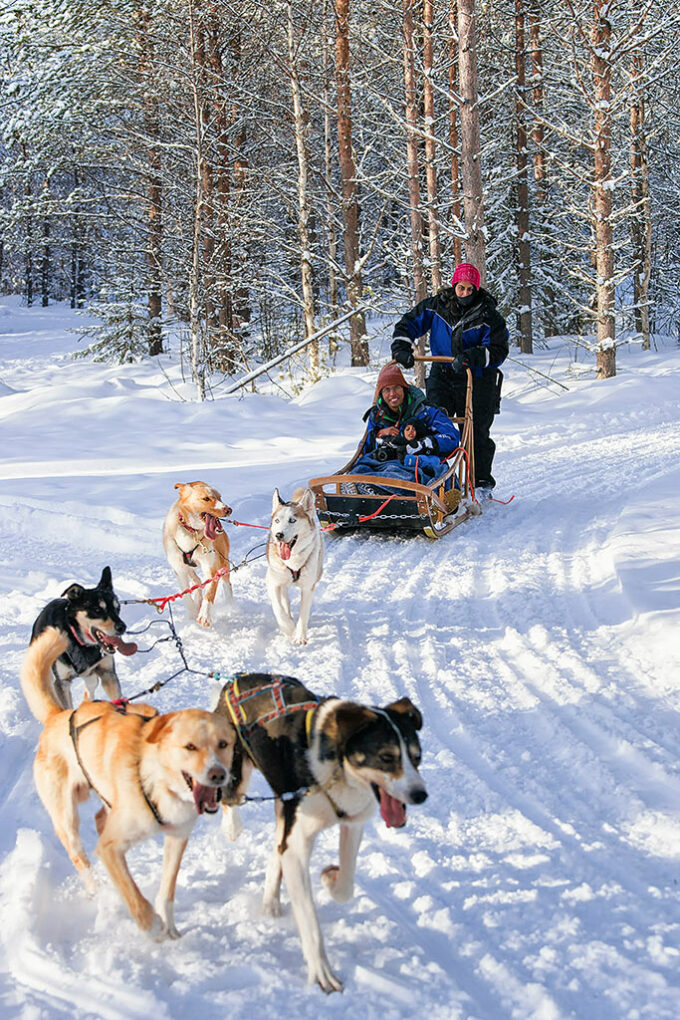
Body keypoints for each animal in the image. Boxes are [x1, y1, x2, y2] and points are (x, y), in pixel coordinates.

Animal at [21, 628, 238, 938]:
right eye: (190, 747)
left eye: (223, 744)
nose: (219, 774)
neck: (157, 781)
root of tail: (58, 716)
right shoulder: (110, 850)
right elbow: (134, 896)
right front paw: (152, 926)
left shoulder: (177, 837)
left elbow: (166, 890)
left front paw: (168, 924)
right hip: (66, 817)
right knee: (80, 856)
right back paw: (98, 891)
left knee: (100, 818)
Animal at [29, 567, 137, 709]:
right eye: (97, 609)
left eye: (117, 608)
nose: (122, 627)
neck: (79, 642)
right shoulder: (62, 683)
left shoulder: (107, 673)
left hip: (92, 676)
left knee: (91, 686)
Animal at [163, 479, 234, 628]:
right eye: (206, 498)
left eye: (220, 498)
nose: (228, 509)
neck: (191, 533)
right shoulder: (180, 569)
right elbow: (186, 594)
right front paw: (192, 614)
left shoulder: (211, 567)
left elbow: (210, 590)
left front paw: (204, 615)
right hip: (189, 567)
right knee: (198, 581)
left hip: (223, 562)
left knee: (226, 584)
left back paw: (230, 606)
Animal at [215, 673, 428, 991]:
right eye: (386, 757)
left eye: (417, 757)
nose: (420, 795)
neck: (337, 769)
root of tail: (237, 678)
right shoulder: (298, 845)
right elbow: (309, 920)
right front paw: (322, 973)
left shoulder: (352, 824)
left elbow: (347, 884)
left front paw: (330, 878)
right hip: (237, 769)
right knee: (229, 798)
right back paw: (232, 827)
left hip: (284, 804)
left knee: (277, 847)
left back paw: (271, 900)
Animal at [265, 487, 324, 644]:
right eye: (277, 520)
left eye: (292, 520)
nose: (279, 535)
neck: (293, 561)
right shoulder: (273, 582)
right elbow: (278, 609)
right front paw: (288, 628)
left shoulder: (308, 588)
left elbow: (304, 614)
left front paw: (300, 636)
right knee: (285, 600)